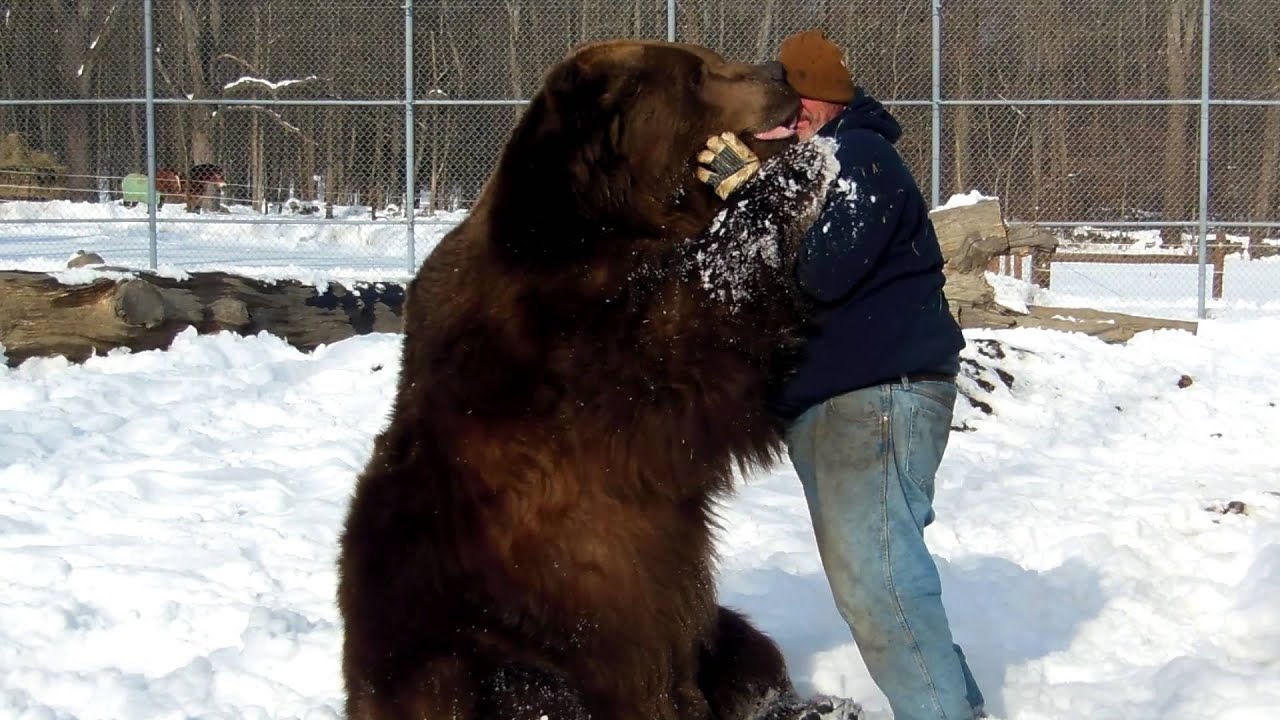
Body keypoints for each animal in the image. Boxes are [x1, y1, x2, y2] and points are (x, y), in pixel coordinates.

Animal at [337, 40, 842, 720]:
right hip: (472, 640)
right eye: (697, 73)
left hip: (697, 630)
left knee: (741, 645)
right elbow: (692, 337)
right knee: (517, 685)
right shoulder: (556, 349)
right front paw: (792, 171)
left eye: (709, 58)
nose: (781, 72)